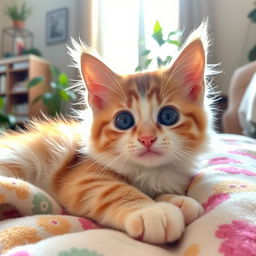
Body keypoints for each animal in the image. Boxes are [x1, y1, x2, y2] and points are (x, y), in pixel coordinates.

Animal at [0, 24, 212, 244]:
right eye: (123, 120)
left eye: (168, 116)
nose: (147, 138)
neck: (151, 172)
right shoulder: (83, 175)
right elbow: (117, 190)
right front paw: (152, 211)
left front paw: (179, 200)